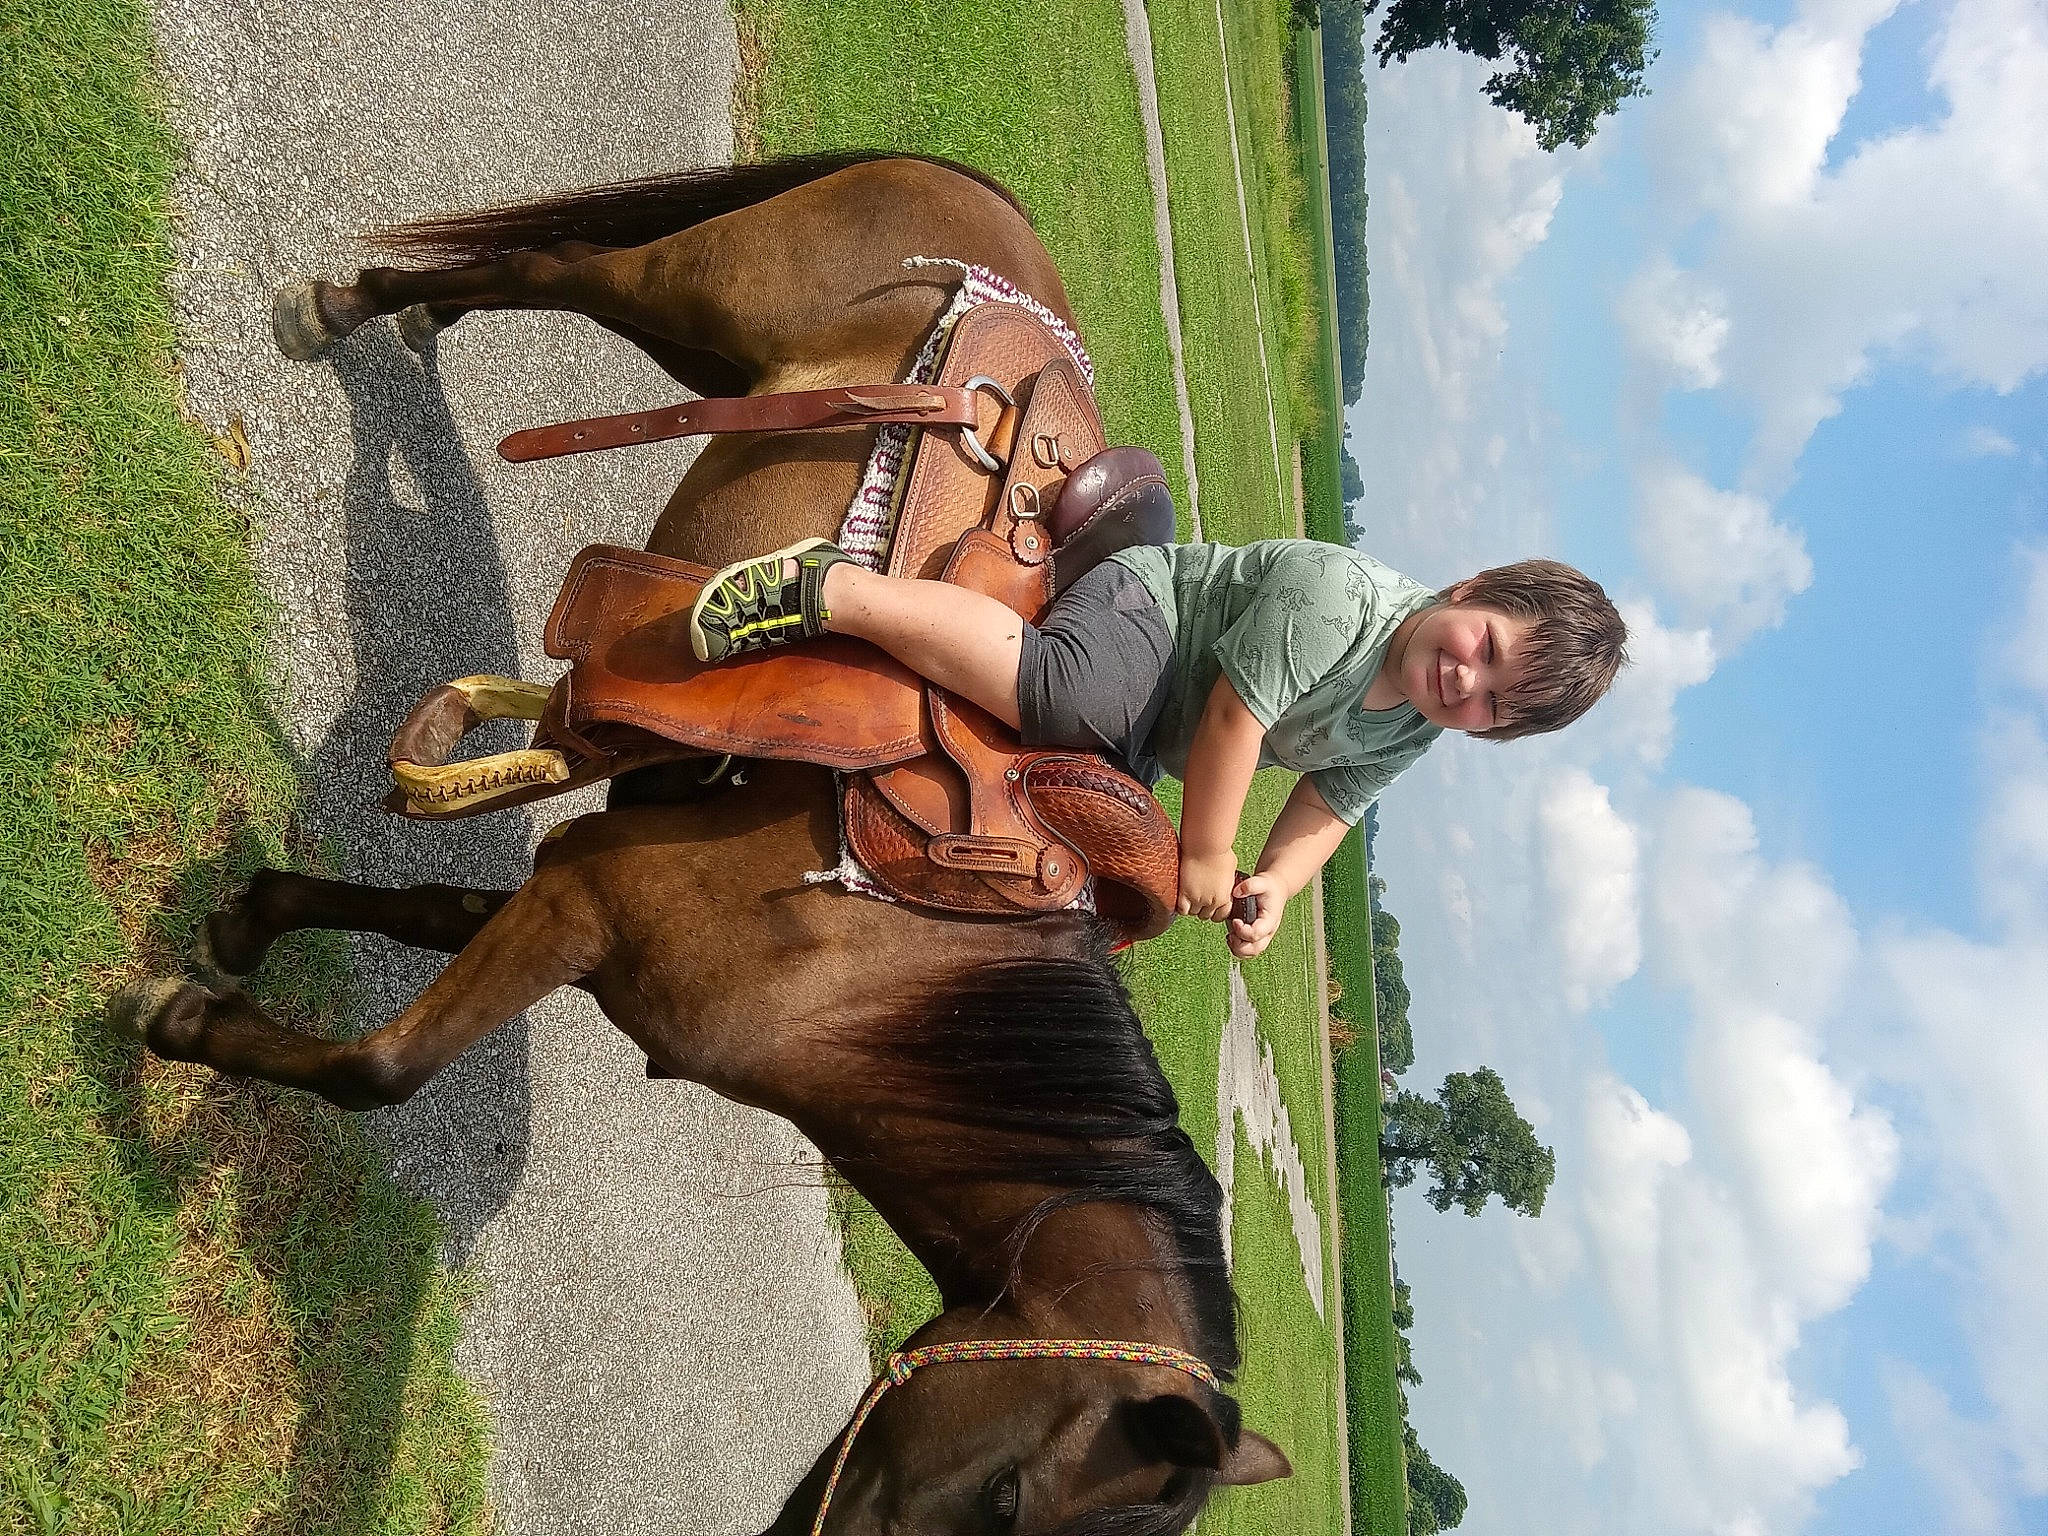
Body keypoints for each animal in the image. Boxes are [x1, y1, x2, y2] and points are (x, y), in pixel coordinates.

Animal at [112, 154, 1292, 1534]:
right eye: (1006, 1500)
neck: (871, 968)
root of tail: (994, 223)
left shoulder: (580, 898)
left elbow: (413, 916)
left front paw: (246, 922)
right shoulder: (587, 909)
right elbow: (382, 1069)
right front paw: (183, 1023)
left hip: (707, 362)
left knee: (549, 273)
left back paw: (410, 318)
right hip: (691, 292)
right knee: (553, 266)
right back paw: (349, 308)